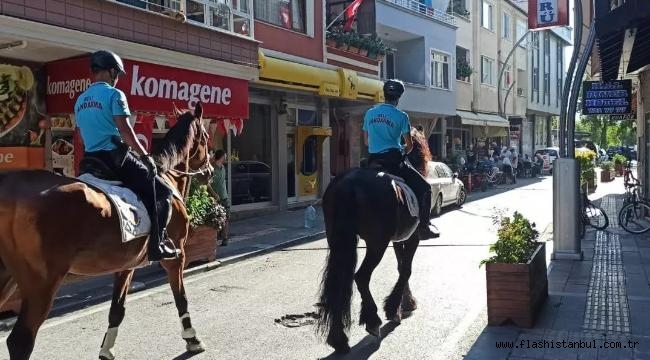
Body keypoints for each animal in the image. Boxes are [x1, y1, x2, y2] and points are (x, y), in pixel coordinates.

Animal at [0, 102, 211, 360]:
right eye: (206, 136)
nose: (210, 171)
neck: (166, 175)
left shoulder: (127, 264)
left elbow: (116, 310)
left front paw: (106, 349)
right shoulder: (176, 257)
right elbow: (181, 298)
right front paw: (192, 338)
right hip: (42, 283)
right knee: (20, 341)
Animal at [316, 128, 430, 352]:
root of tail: (348, 184)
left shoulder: (397, 239)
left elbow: (400, 267)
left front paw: (404, 304)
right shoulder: (412, 238)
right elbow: (406, 269)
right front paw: (394, 308)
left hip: (339, 241)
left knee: (339, 280)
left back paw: (338, 338)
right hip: (377, 243)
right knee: (361, 276)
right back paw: (372, 321)